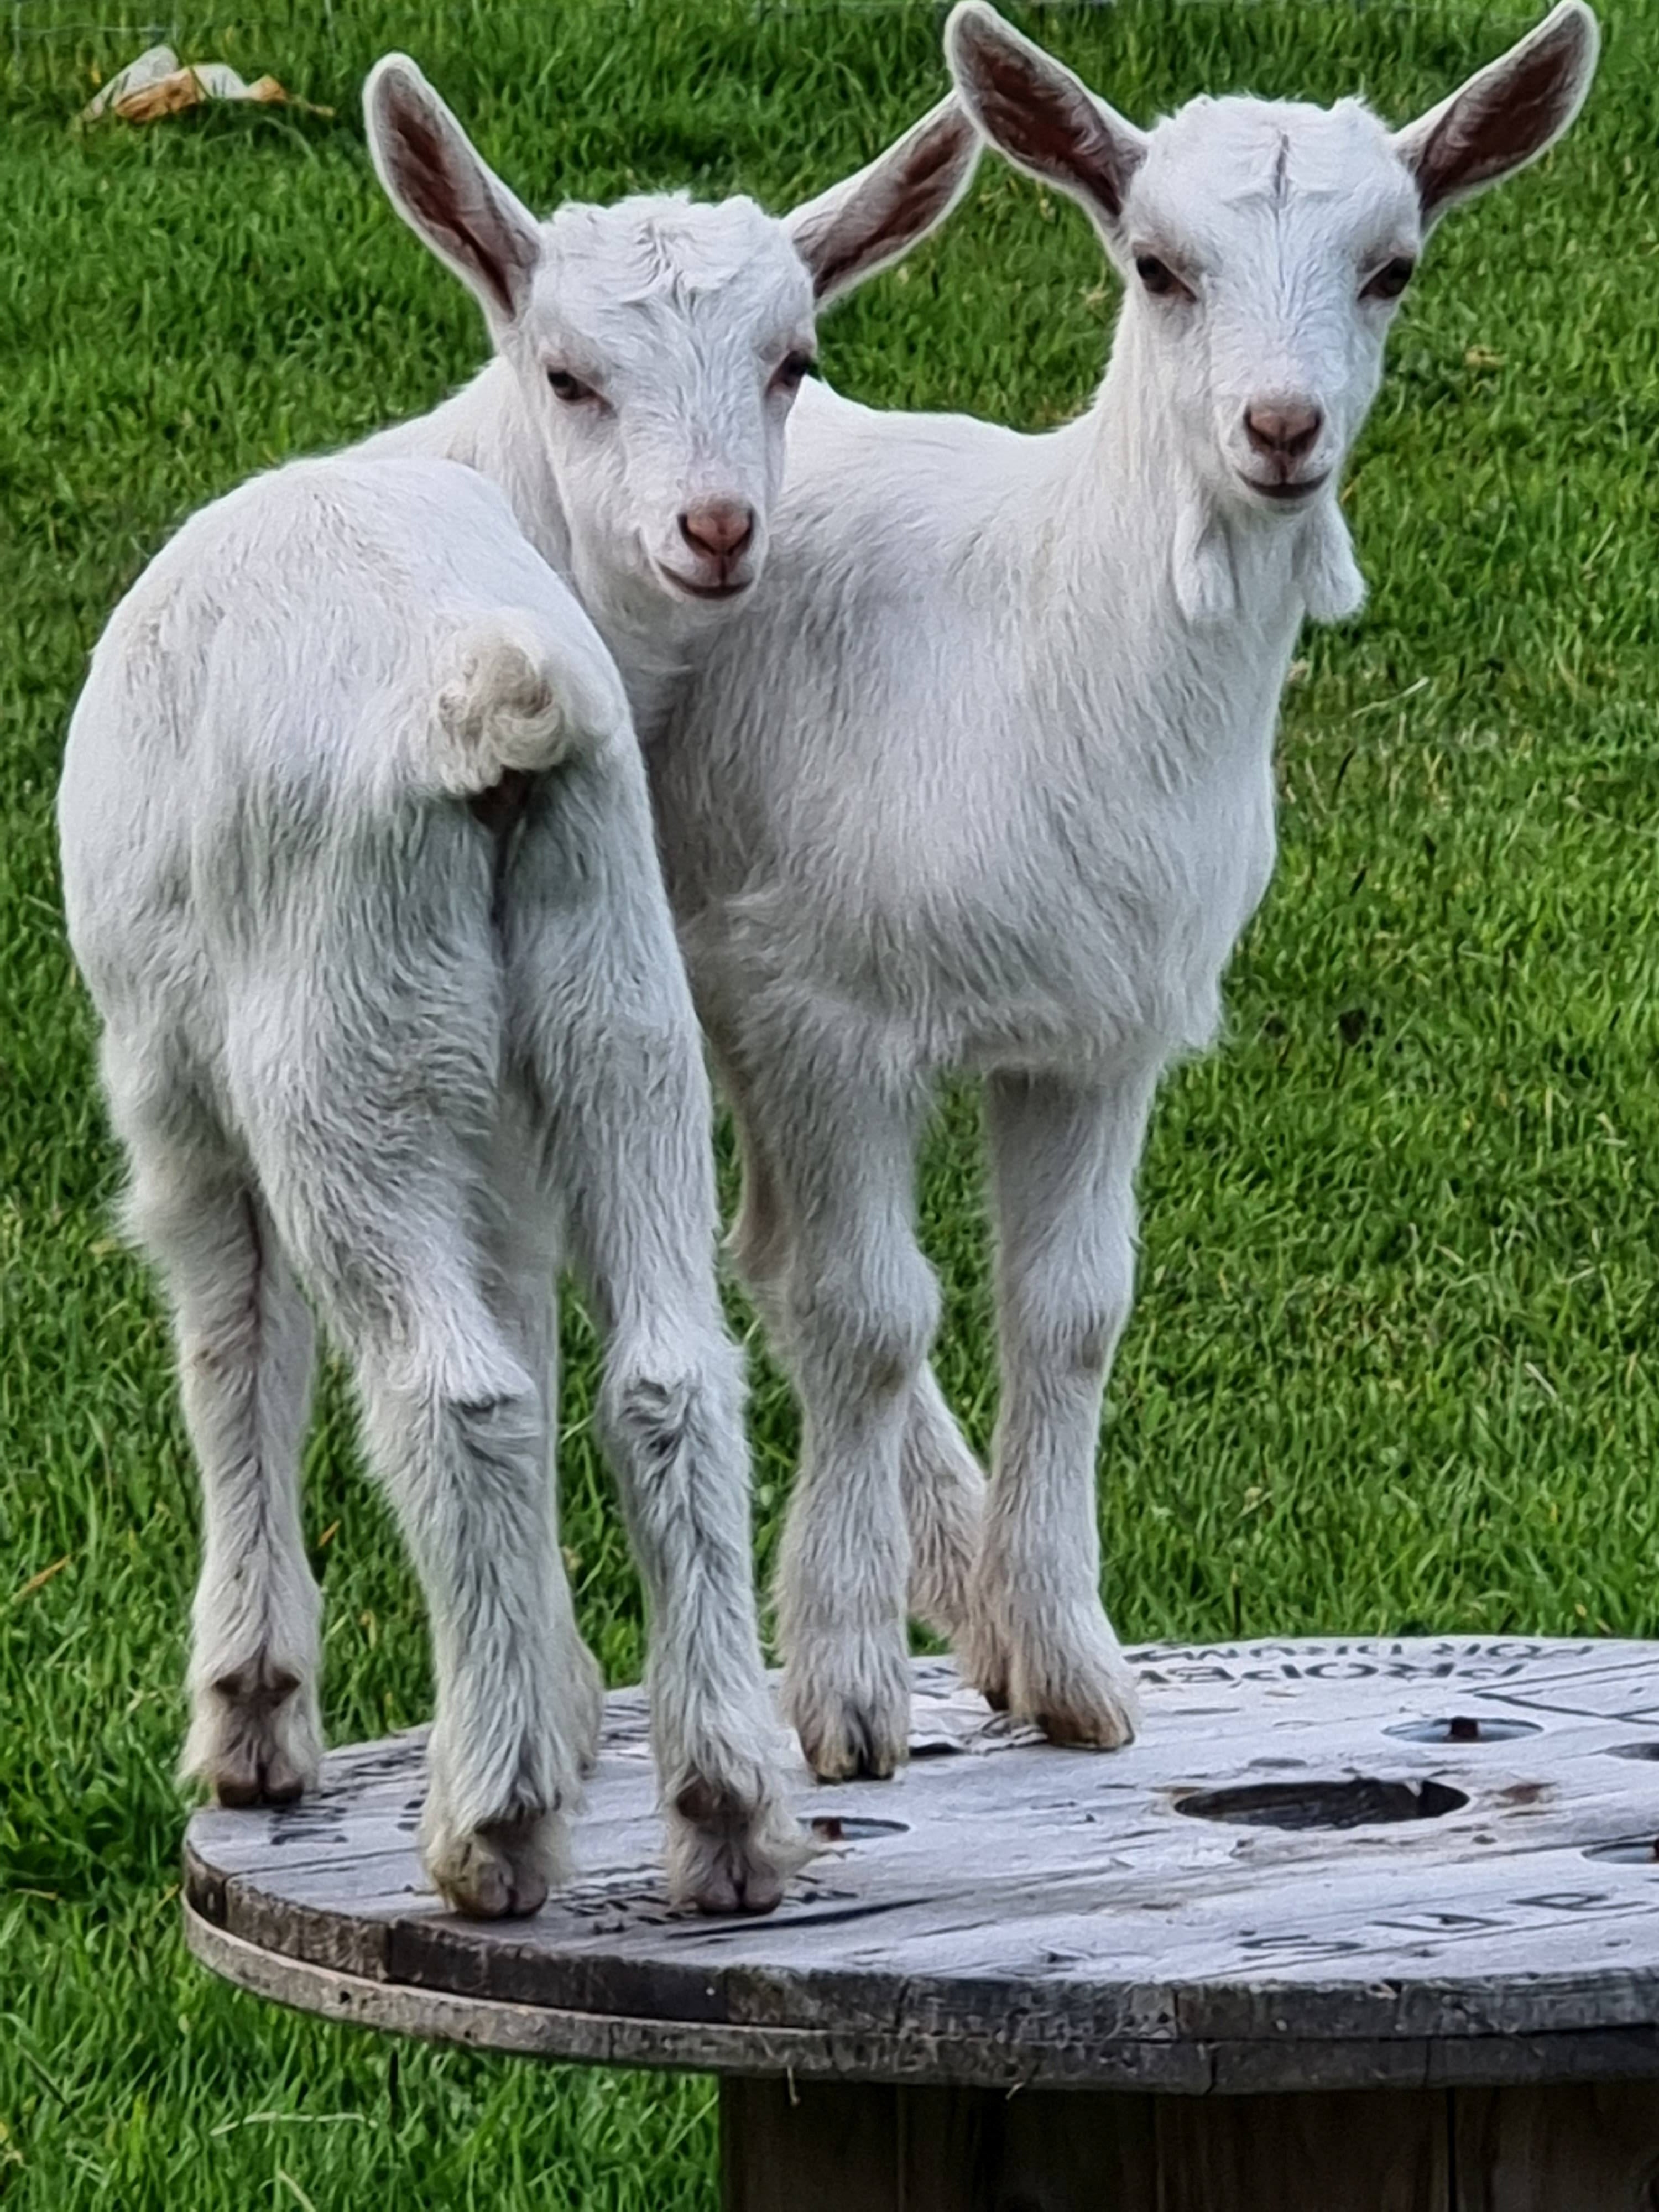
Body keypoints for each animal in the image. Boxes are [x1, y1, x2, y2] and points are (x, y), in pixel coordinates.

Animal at [58, 59, 979, 1914]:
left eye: (792, 359)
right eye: (571, 372)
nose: (719, 529)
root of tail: (494, 688)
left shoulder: (168, 1078)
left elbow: (231, 1335)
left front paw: (252, 1712)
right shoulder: (523, 1110)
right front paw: (560, 1703)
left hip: (342, 1037)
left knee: (449, 1391)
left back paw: (485, 1823)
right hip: (614, 1005)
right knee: (668, 1376)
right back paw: (724, 1809)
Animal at [647, 1, 1599, 1781]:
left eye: (1393, 265)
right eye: (1157, 265)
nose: (1280, 431)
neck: (1040, 650)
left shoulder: (1097, 1031)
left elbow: (1071, 1312)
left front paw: (1070, 1665)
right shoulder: (826, 1009)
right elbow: (870, 1312)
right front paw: (848, 1696)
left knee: (768, 1245)